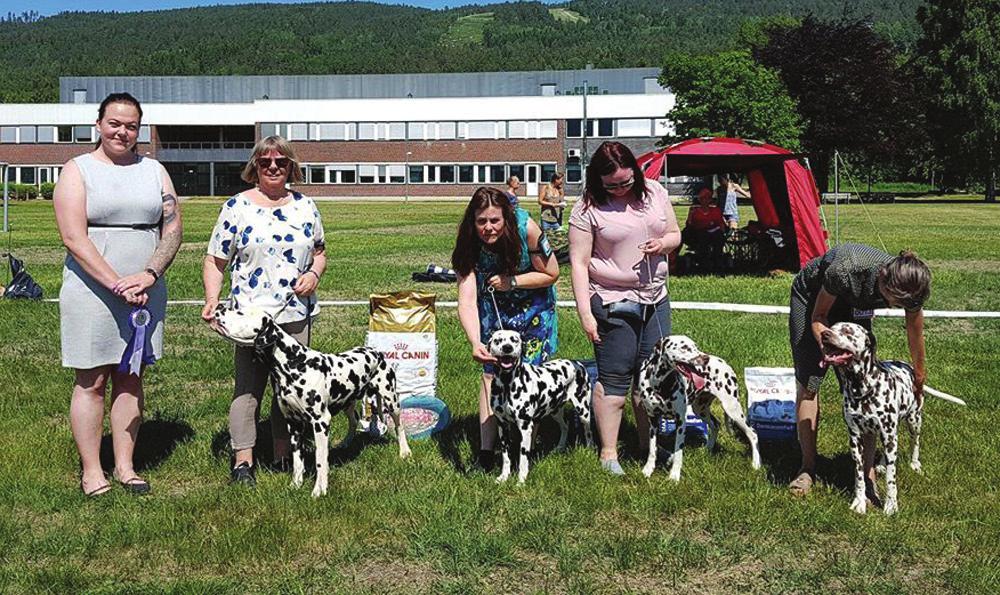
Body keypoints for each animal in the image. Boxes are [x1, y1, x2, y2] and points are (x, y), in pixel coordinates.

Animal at [213, 302, 412, 498]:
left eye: (240, 312)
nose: (219, 307)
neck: (295, 363)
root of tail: (375, 351)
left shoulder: (321, 422)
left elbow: (320, 460)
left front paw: (319, 490)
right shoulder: (293, 423)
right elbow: (297, 461)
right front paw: (295, 484)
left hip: (391, 399)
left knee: (399, 425)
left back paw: (404, 452)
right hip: (347, 403)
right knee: (354, 420)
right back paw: (345, 443)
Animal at [486, 330, 592, 484]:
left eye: (514, 340)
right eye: (497, 340)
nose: (507, 348)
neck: (507, 384)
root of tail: (577, 363)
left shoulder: (525, 427)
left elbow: (523, 458)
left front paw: (521, 480)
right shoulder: (502, 426)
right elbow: (506, 457)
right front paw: (504, 477)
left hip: (583, 411)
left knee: (588, 432)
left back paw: (589, 449)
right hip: (555, 411)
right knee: (565, 426)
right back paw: (560, 447)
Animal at [636, 338, 760, 482]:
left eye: (696, 346)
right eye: (684, 347)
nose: (705, 358)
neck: (660, 383)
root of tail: (725, 363)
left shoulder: (680, 422)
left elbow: (678, 451)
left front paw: (674, 476)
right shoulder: (653, 421)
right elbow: (652, 449)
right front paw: (648, 470)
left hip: (732, 409)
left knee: (752, 433)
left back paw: (756, 464)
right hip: (699, 409)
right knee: (715, 424)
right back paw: (707, 449)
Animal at [820, 324, 920, 516]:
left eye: (848, 331)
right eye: (832, 327)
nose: (824, 334)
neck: (861, 388)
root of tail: (907, 364)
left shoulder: (889, 435)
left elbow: (891, 478)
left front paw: (891, 505)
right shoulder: (855, 439)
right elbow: (859, 476)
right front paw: (859, 502)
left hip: (914, 421)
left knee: (915, 441)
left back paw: (915, 463)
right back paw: (881, 464)